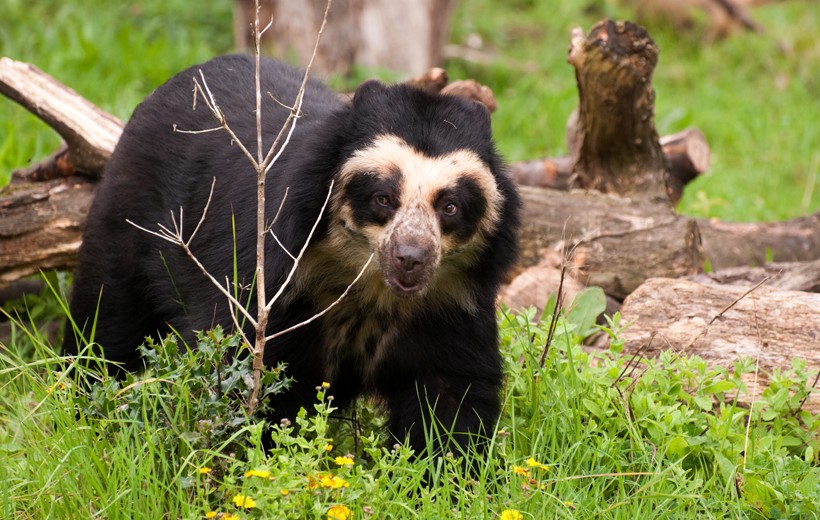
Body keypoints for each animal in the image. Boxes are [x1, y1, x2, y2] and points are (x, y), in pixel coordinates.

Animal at [67, 54, 524, 456]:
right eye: (382, 197)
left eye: (450, 206)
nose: (411, 257)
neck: (368, 284)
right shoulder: (278, 279)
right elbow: (245, 367)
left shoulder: (452, 299)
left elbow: (451, 392)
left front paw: (442, 473)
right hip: (130, 217)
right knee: (108, 319)